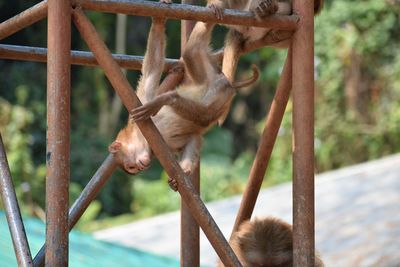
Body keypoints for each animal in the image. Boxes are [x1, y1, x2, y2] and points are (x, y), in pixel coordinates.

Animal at [109, 14, 260, 188]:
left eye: (131, 167)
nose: (141, 167)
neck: (142, 138)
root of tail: (227, 84)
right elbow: (192, 139)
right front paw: (184, 173)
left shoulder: (138, 114)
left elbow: (151, 71)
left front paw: (158, 22)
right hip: (213, 89)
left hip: (208, 81)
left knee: (190, 55)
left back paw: (168, 98)